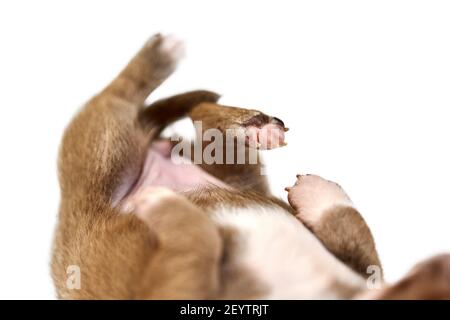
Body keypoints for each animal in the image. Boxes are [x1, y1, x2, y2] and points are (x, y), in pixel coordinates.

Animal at [52, 33, 450, 298]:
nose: (434, 264)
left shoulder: (367, 272)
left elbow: (358, 237)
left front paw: (318, 196)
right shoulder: (174, 288)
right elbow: (195, 242)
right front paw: (166, 205)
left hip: (230, 167)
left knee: (202, 116)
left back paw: (251, 127)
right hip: (104, 148)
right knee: (123, 94)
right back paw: (167, 57)